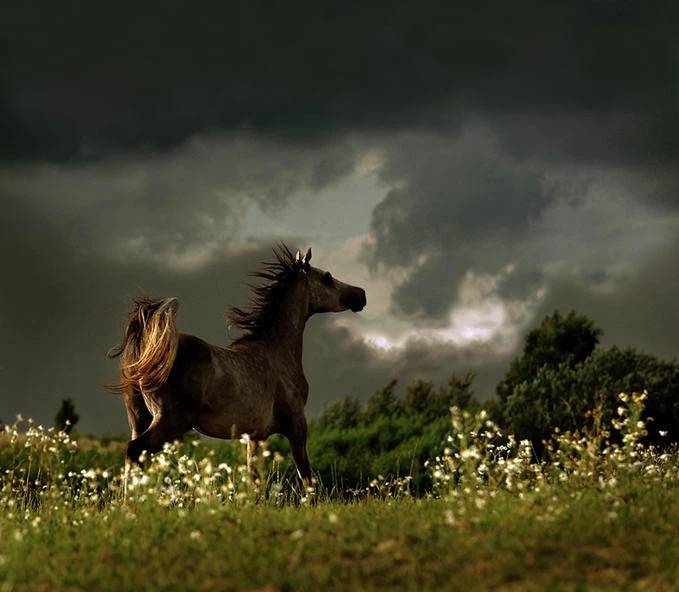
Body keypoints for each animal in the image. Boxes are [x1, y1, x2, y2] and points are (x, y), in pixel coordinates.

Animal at [107, 243, 366, 484]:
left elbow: (254, 479)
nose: (360, 294)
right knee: (135, 451)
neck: (276, 350)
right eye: (327, 277)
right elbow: (306, 476)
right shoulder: (297, 425)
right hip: (169, 422)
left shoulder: (256, 437)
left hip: (140, 419)